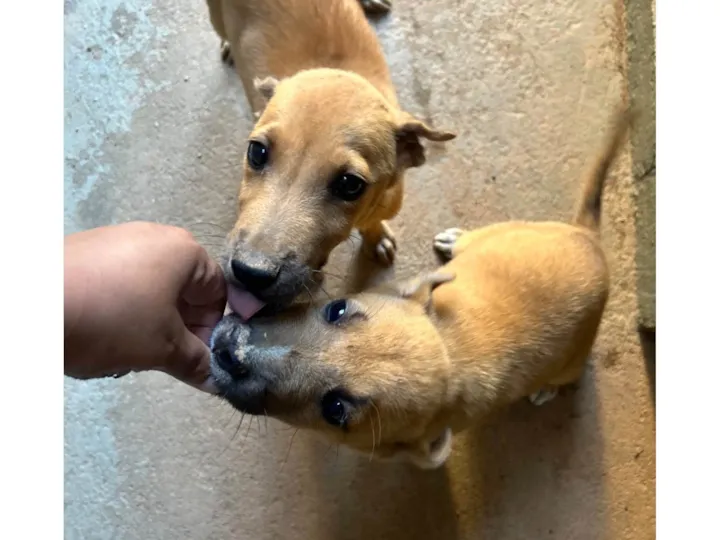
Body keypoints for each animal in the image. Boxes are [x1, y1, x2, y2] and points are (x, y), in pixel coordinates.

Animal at [208, 107, 632, 469]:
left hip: (572, 358)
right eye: (336, 309)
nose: (230, 348)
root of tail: (589, 240)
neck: (453, 352)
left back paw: (546, 390)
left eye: (336, 409)